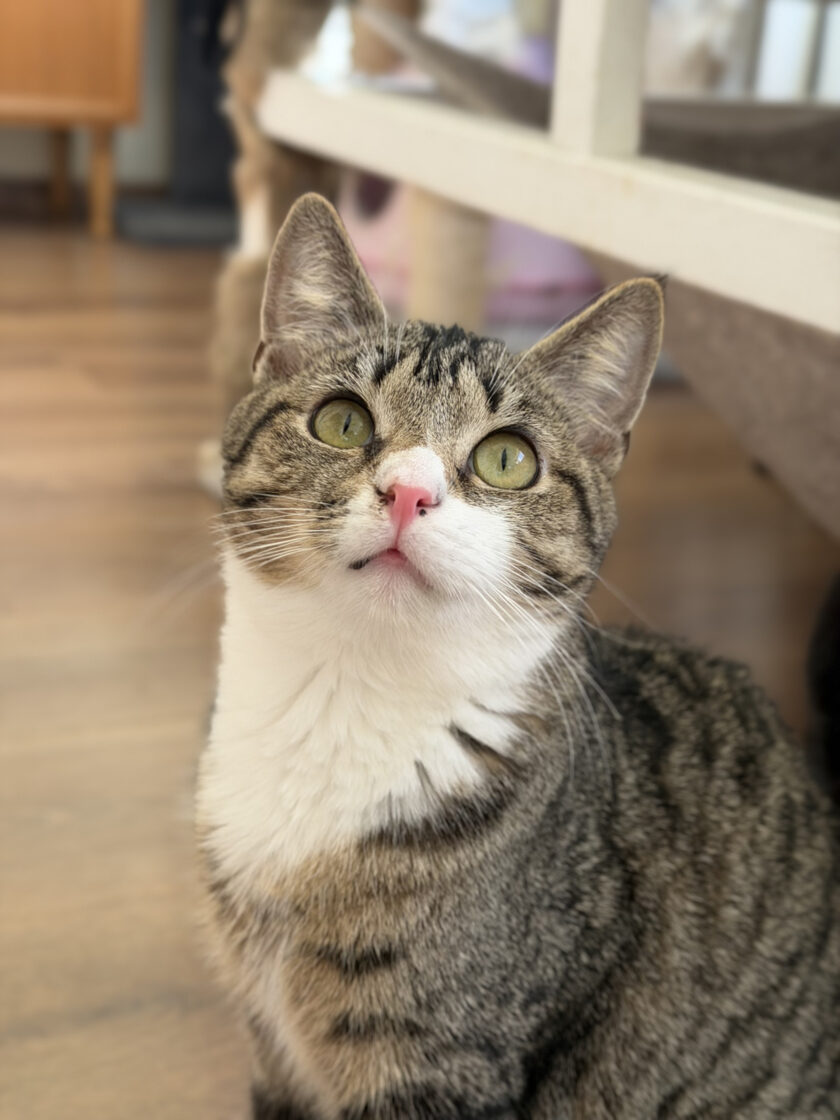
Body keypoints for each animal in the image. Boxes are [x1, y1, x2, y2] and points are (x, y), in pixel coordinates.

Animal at [196, 194, 840, 1119]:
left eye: (507, 459)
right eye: (341, 421)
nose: (409, 493)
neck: (350, 700)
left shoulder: (443, 1065)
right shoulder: (274, 1055)